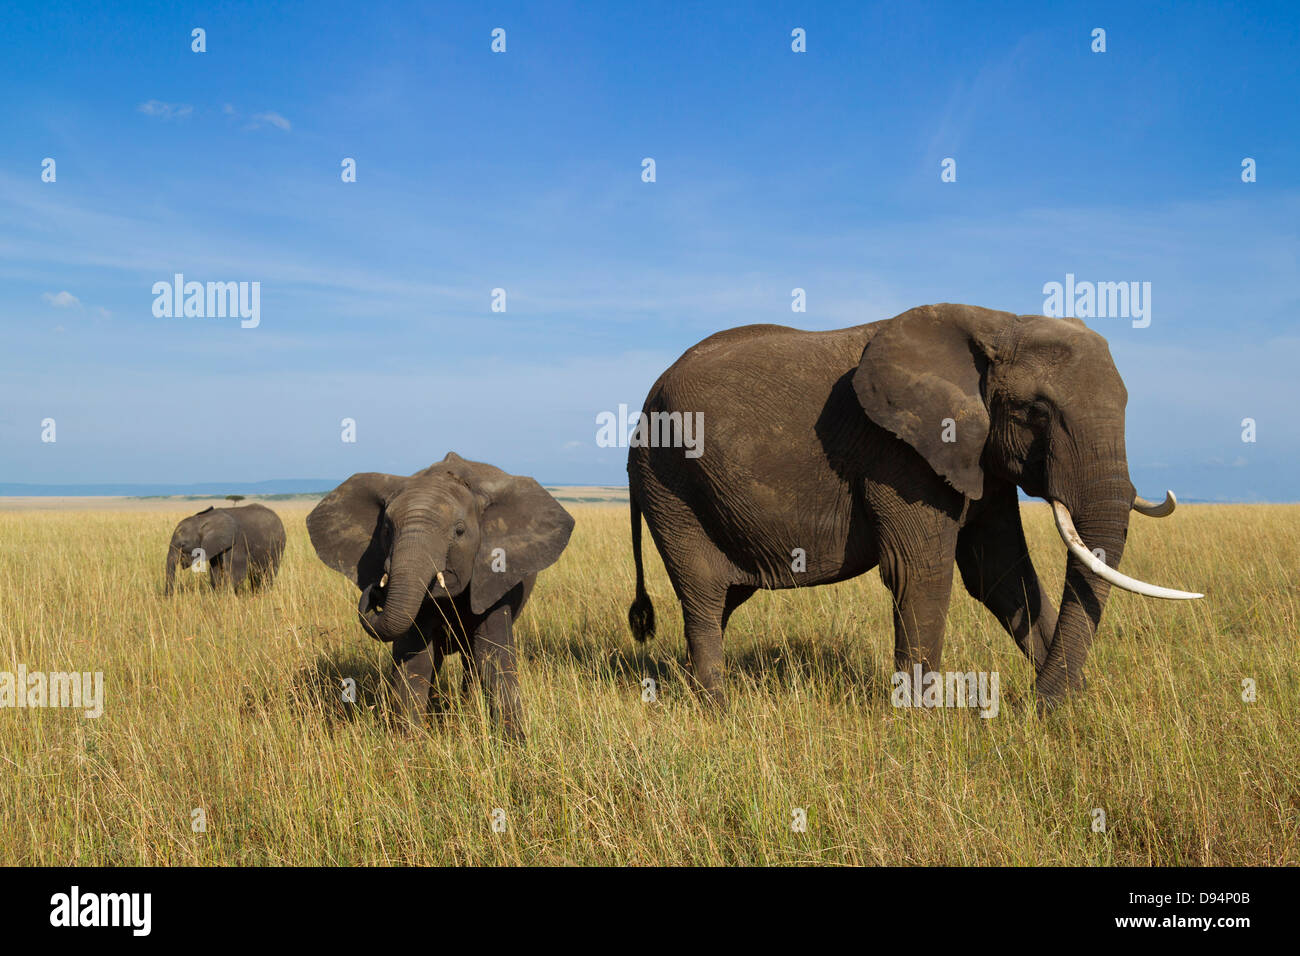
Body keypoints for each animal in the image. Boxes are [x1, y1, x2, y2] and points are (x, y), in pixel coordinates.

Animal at [306, 453, 574, 738]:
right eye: (387, 530)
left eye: (459, 531)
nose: (377, 589)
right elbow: (415, 658)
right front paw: (409, 742)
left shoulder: (492, 577)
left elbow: (493, 653)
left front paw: (513, 742)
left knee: (471, 659)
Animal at [626, 303, 1201, 710]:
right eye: (1035, 411)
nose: (1036, 706)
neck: (998, 324)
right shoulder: (900, 454)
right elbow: (921, 573)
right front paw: (921, 720)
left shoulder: (978, 454)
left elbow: (1000, 572)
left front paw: (1066, 709)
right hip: (669, 484)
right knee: (703, 594)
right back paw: (715, 709)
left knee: (725, 598)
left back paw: (687, 686)